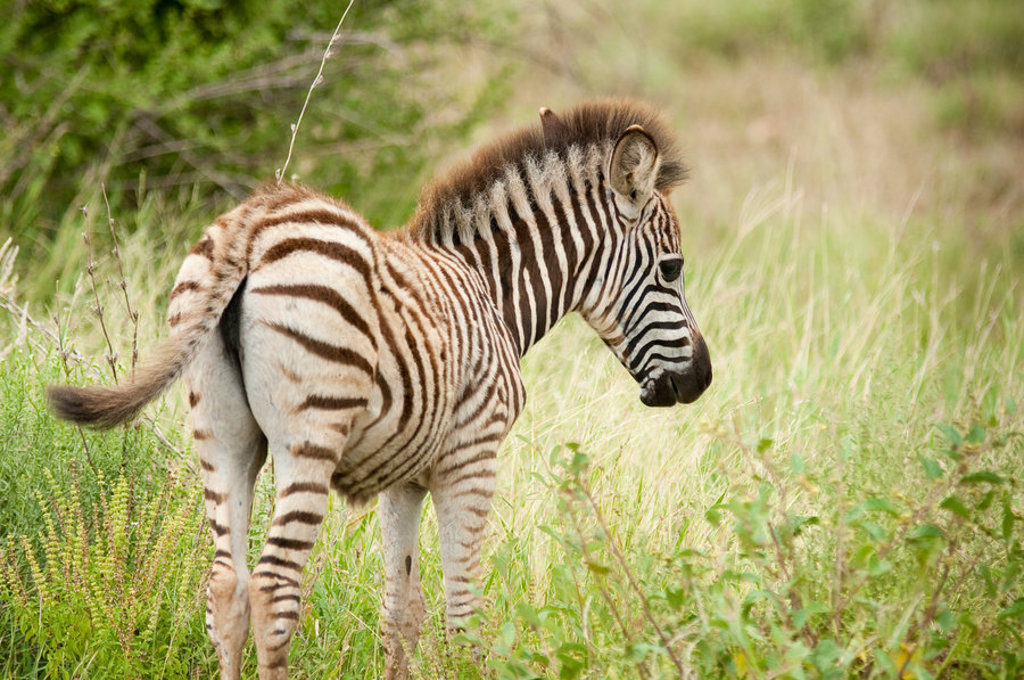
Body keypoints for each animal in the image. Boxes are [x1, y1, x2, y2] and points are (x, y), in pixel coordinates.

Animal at [48, 99, 712, 680]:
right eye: (672, 268)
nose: (701, 379)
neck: (491, 291)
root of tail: (252, 227)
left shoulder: (405, 476)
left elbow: (402, 610)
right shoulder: (472, 456)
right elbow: (463, 613)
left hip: (221, 435)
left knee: (225, 589)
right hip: (310, 436)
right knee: (272, 590)